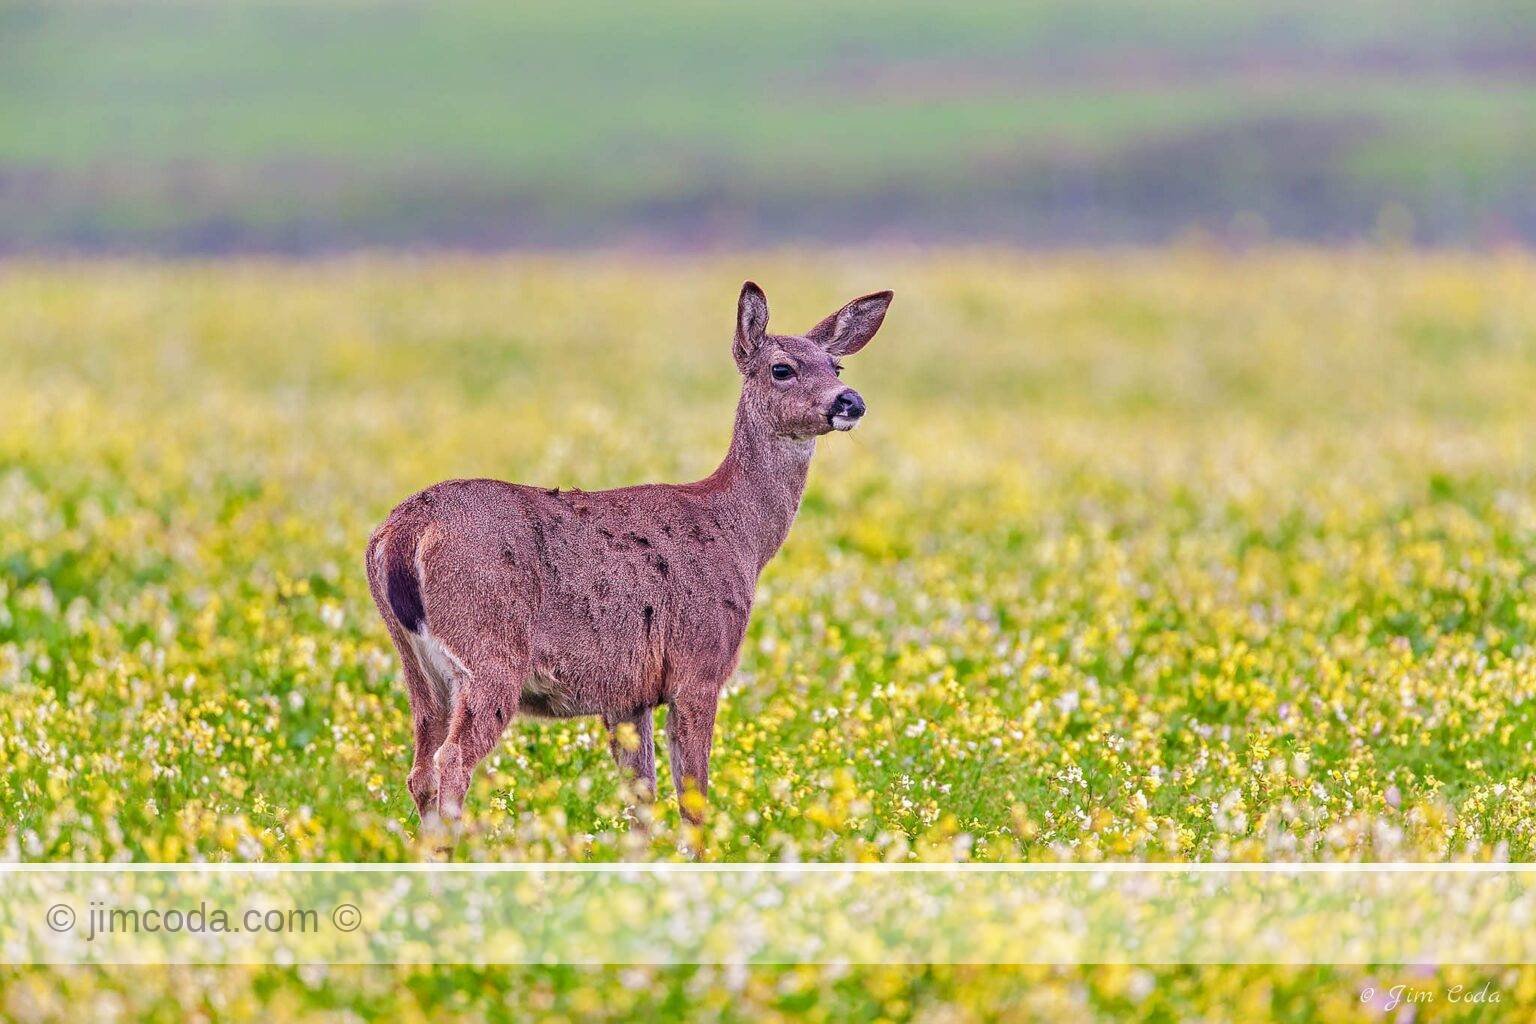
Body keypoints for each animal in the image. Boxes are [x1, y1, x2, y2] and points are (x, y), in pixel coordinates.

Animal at [364, 281, 892, 832]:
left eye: (836, 367)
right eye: (782, 368)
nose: (850, 401)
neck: (740, 537)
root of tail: (403, 532)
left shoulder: (627, 693)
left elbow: (643, 799)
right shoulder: (699, 665)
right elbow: (693, 800)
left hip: (418, 667)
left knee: (420, 772)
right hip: (488, 650)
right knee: (451, 763)